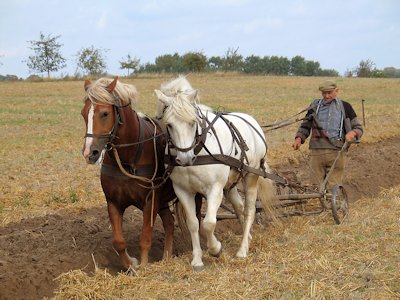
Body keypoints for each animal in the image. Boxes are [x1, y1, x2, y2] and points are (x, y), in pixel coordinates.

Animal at [80, 77, 176, 270]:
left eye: (104, 113)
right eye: (83, 113)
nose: (89, 153)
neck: (128, 157)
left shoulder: (151, 201)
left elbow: (145, 237)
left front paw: (144, 266)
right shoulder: (113, 202)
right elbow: (118, 242)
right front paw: (131, 264)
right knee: (170, 223)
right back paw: (167, 257)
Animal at [154, 75, 276, 272]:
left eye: (193, 122)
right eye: (169, 124)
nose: (185, 158)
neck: (198, 150)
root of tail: (252, 121)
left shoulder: (215, 189)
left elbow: (209, 223)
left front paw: (216, 249)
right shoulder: (183, 191)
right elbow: (193, 223)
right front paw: (197, 260)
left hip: (251, 176)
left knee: (249, 210)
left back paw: (242, 250)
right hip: (230, 184)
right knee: (239, 207)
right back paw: (247, 237)